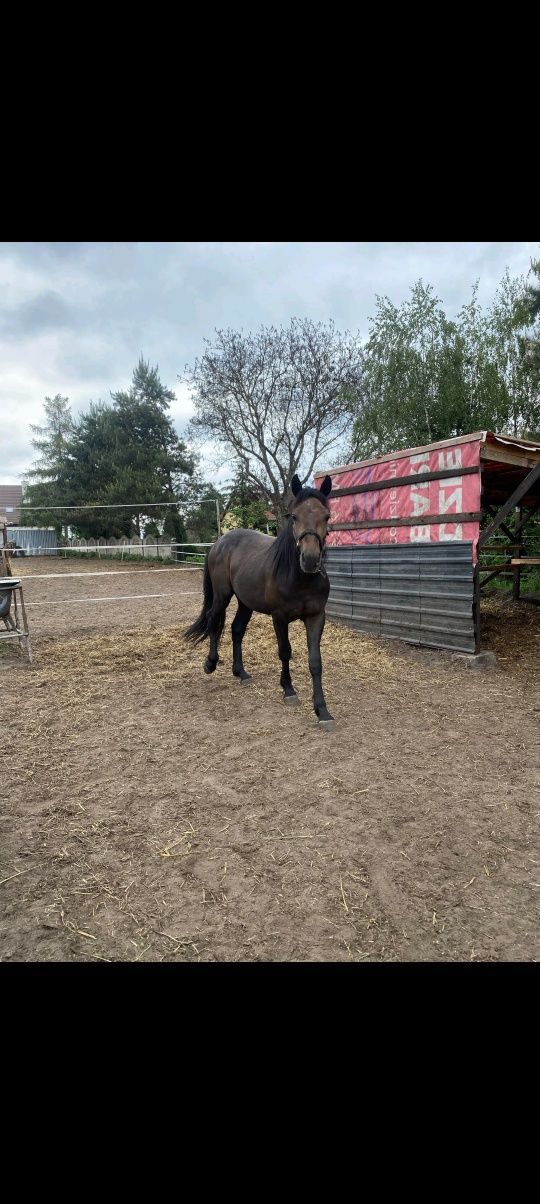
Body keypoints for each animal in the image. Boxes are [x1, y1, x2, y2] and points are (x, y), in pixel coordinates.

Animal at [184, 476, 331, 722]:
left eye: (327, 516)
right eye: (294, 516)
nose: (310, 560)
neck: (298, 577)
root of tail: (219, 542)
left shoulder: (316, 616)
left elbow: (316, 661)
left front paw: (322, 710)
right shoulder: (279, 617)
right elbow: (285, 651)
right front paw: (288, 690)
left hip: (246, 602)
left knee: (236, 629)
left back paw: (241, 672)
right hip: (222, 596)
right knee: (214, 621)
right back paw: (210, 663)